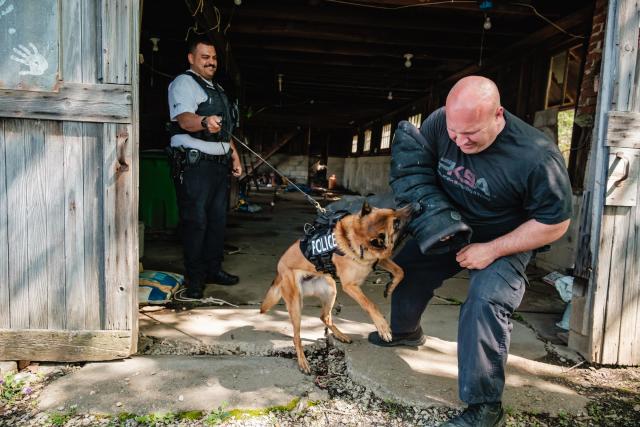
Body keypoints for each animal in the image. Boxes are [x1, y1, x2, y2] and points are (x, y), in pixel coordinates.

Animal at [260, 202, 416, 372]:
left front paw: (390, 287)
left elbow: (400, 271)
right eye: (396, 223)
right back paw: (303, 361)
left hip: (331, 290)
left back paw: (340, 335)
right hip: (296, 304)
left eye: (393, 210)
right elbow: (370, 304)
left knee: (324, 317)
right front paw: (383, 328)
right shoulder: (350, 286)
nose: (415, 205)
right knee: (296, 337)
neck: (357, 239)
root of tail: (279, 271)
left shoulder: (380, 258)